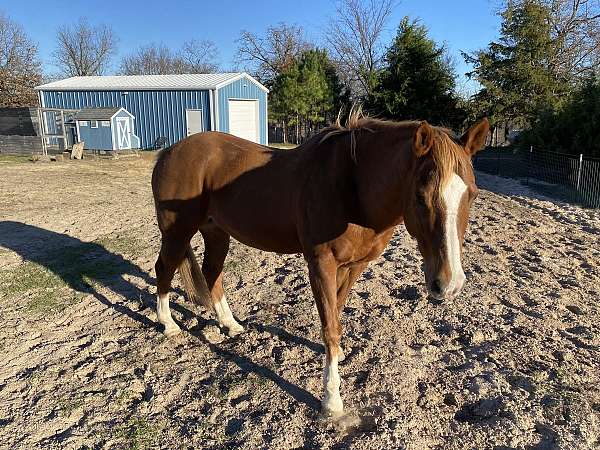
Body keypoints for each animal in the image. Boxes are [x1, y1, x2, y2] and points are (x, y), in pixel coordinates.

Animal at [151, 112, 488, 414]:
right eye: (420, 196)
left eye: (472, 195)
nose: (449, 283)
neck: (352, 186)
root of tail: (170, 151)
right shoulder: (321, 264)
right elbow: (330, 327)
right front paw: (331, 400)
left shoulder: (353, 266)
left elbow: (335, 314)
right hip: (177, 232)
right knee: (164, 269)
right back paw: (168, 324)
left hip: (216, 231)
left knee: (212, 272)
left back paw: (229, 324)